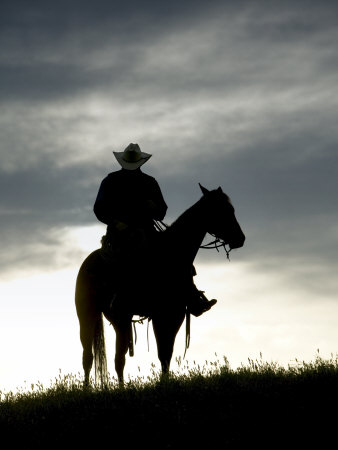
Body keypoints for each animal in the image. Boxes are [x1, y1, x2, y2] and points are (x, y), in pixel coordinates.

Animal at [74, 185, 243, 384]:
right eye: (225, 210)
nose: (240, 239)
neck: (169, 256)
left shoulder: (175, 314)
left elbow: (165, 354)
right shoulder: (159, 314)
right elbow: (163, 352)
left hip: (119, 319)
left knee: (119, 358)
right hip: (87, 315)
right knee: (88, 356)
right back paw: (87, 387)